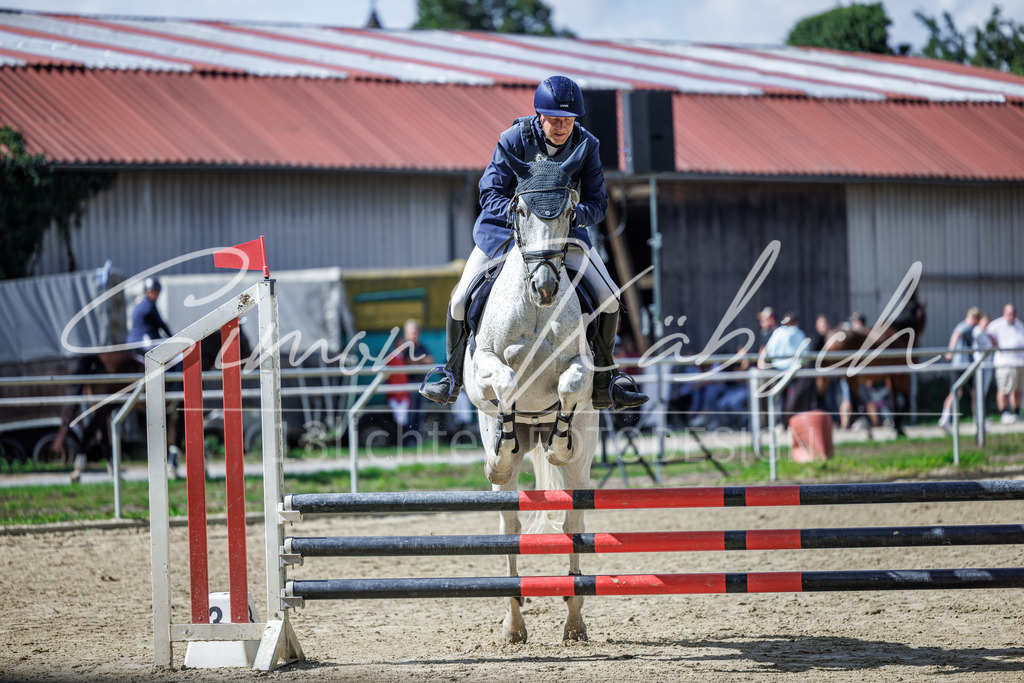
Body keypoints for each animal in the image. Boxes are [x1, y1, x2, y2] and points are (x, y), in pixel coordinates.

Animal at [462, 142, 600, 644]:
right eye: (520, 210)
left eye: (571, 212)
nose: (544, 286)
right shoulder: (484, 363)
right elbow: (503, 381)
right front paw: (503, 443)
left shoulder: (583, 367)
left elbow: (569, 384)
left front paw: (559, 440)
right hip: (505, 468)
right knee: (510, 523)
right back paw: (514, 624)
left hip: (583, 458)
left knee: (574, 520)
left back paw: (575, 623)